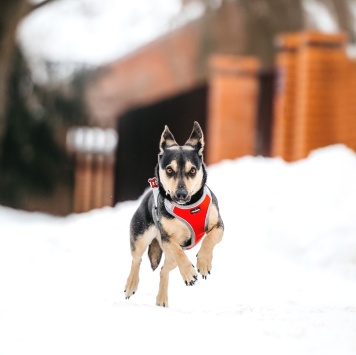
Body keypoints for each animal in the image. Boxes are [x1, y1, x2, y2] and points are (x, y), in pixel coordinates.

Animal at [124, 122, 224, 306]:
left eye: (192, 171)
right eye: (169, 170)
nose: (181, 194)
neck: (188, 206)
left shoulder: (219, 226)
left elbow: (209, 239)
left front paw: (204, 262)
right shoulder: (168, 240)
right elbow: (179, 253)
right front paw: (189, 273)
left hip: (167, 256)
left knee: (164, 270)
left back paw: (162, 300)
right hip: (141, 236)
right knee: (137, 259)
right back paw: (131, 285)